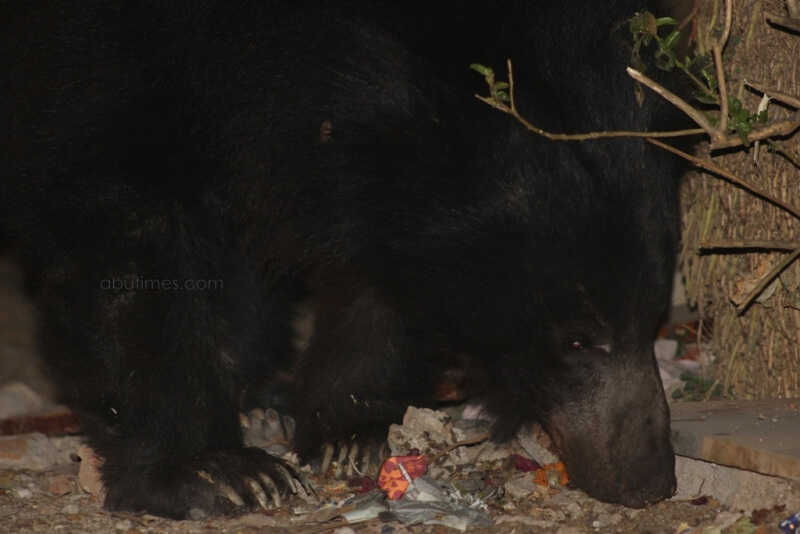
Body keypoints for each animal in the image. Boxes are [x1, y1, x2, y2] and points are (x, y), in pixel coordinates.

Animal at [3, 0, 684, 520]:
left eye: (653, 319)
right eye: (576, 341)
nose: (650, 481)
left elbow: (373, 268)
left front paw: (348, 434)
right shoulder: (105, 61)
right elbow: (123, 232)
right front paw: (221, 473)